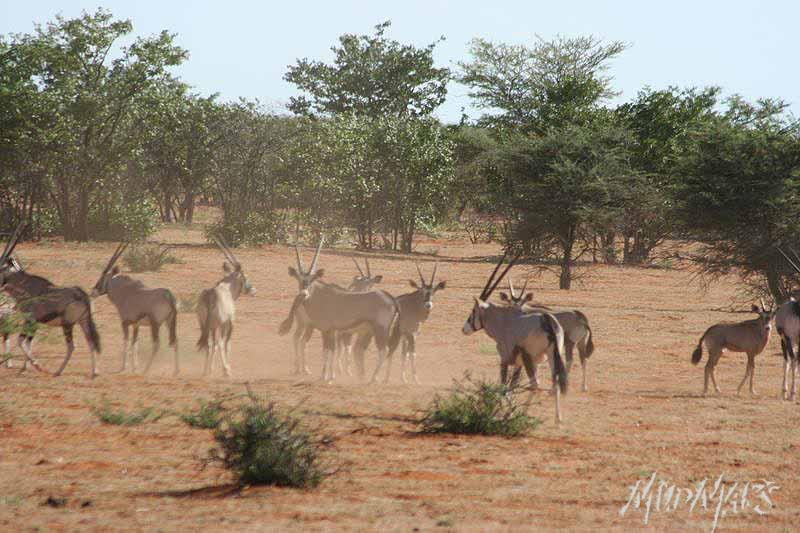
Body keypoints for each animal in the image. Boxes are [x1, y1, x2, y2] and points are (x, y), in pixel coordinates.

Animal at [0, 222, 102, 376]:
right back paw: (94, 372)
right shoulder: (33, 322)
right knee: (90, 341)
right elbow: (27, 342)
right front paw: (25, 367)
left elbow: (21, 341)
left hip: (67, 324)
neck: (23, 284)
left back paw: (58, 371)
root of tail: (81, 294)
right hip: (83, 321)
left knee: (72, 346)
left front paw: (37, 365)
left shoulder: (31, 320)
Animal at [91, 242, 179, 374]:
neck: (125, 291)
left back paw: (146, 370)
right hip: (169, 322)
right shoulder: (136, 325)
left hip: (155, 324)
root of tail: (168, 295)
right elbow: (135, 343)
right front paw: (134, 367)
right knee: (175, 341)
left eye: (102, 277)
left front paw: (124, 367)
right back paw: (176, 371)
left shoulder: (125, 323)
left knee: (156, 344)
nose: (93, 292)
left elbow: (126, 342)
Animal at [196, 235, 255, 376]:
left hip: (205, 325)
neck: (227, 288)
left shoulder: (213, 327)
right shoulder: (230, 322)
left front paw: (210, 369)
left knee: (208, 344)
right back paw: (226, 371)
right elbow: (227, 345)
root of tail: (210, 295)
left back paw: (205, 371)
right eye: (246, 276)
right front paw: (226, 369)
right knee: (220, 343)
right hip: (219, 324)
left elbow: (214, 346)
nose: (253, 290)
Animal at [280, 237, 404, 382]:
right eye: (299, 279)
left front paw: (325, 376)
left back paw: (373, 378)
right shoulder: (331, 330)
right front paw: (329, 375)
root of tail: (391, 299)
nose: (303, 294)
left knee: (383, 351)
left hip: (380, 329)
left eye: (312, 279)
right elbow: (330, 351)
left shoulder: (327, 330)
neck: (319, 294)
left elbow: (327, 352)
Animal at [462, 254, 568, 424]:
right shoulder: (518, 364)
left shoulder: (505, 359)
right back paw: (557, 420)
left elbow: (504, 387)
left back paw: (523, 415)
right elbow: (512, 386)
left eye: (473, 311)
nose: (464, 329)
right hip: (552, 355)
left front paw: (503, 413)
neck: (504, 319)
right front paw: (507, 412)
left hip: (530, 359)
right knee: (555, 383)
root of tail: (546, 320)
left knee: (535, 384)